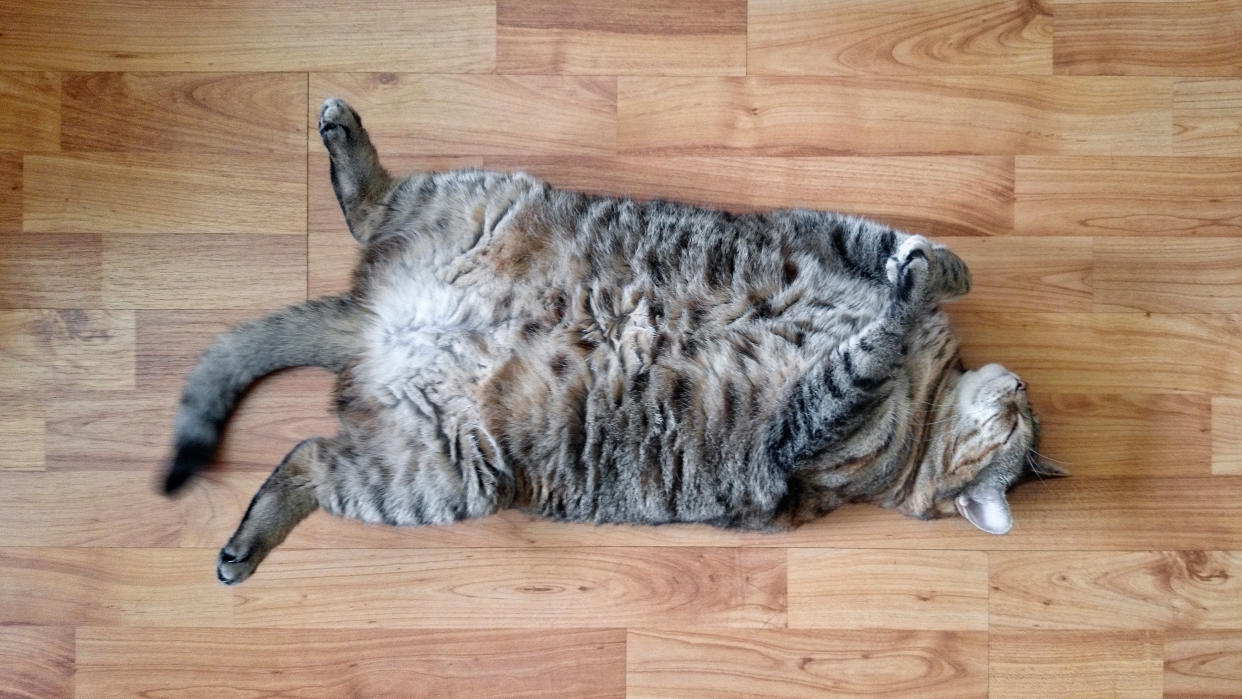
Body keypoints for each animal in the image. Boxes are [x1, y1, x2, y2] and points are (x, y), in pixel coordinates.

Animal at [160, 98, 1063, 586]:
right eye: (1021, 420)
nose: (1022, 390)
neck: (929, 391)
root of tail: (370, 323)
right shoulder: (824, 232)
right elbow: (904, 257)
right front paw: (934, 268)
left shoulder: (813, 421)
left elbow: (867, 345)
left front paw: (906, 299)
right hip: (476, 195)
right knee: (372, 203)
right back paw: (345, 133)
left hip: (437, 472)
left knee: (309, 457)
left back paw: (244, 544)